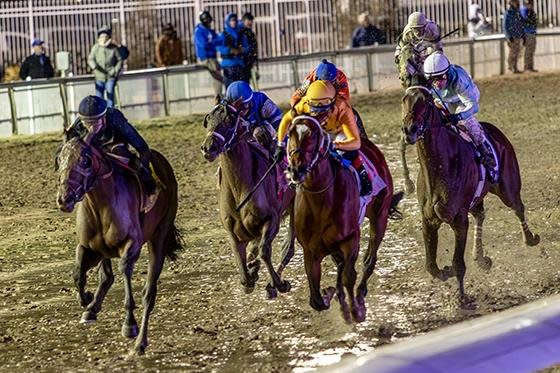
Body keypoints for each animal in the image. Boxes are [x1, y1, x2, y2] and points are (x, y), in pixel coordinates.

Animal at [56, 138, 182, 354]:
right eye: (60, 159)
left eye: (85, 160)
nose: (65, 198)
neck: (100, 204)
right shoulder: (88, 248)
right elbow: (78, 274)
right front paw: (87, 300)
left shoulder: (131, 246)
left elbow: (125, 272)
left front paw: (129, 324)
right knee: (107, 276)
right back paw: (92, 309)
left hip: (159, 235)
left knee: (149, 292)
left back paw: (140, 343)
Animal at [201, 99, 298, 296]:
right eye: (208, 119)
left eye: (229, 119)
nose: (208, 147)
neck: (239, 188)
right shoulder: (233, 232)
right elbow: (243, 265)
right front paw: (251, 274)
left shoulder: (271, 219)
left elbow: (264, 251)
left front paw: (278, 284)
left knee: (288, 247)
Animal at [286, 115, 396, 322]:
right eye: (290, 133)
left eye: (313, 135)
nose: (296, 169)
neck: (321, 201)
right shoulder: (310, 251)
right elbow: (316, 300)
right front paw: (330, 293)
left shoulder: (350, 239)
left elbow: (348, 275)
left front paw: (356, 311)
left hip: (380, 216)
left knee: (369, 259)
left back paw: (360, 291)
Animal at [400, 85, 540, 300]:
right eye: (404, 99)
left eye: (426, 101)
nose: (410, 129)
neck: (440, 167)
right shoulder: (428, 220)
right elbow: (431, 266)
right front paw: (445, 271)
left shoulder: (459, 219)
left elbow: (458, 263)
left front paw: (462, 299)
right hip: (476, 199)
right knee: (480, 215)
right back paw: (481, 258)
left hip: (508, 187)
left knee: (518, 207)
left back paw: (530, 239)